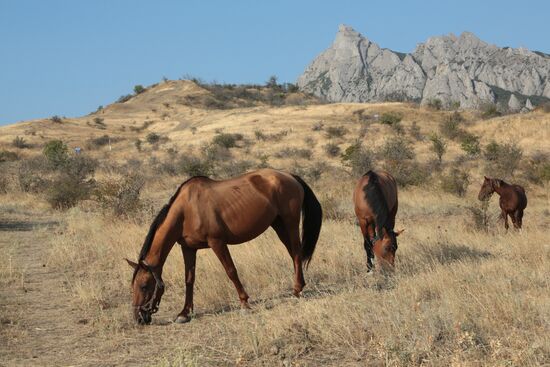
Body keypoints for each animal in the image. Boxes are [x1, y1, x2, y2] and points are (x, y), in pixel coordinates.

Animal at [125, 169, 324, 324]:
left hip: (290, 223)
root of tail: (290, 176)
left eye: (144, 286)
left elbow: (231, 271)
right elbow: (189, 279)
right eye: (132, 286)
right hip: (278, 225)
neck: (186, 210)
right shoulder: (188, 248)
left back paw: (297, 290)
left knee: (296, 253)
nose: (139, 318)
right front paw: (184, 313)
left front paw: (244, 303)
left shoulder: (217, 243)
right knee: (294, 254)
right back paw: (300, 286)